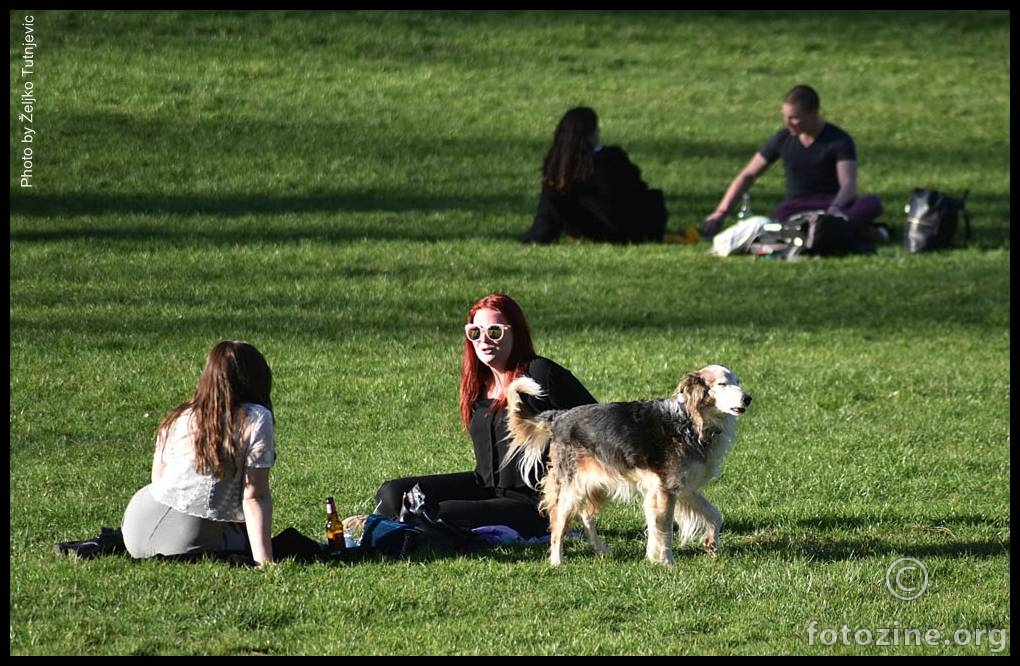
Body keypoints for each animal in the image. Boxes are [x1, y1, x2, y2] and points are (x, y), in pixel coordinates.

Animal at [501, 367, 750, 562]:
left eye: (738, 382)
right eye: (722, 384)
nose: (748, 398)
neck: (690, 420)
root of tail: (559, 417)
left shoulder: (683, 487)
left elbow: (715, 514)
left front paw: (711, 542)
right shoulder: (665, 490)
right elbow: (664, 531)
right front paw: (667, 563)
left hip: (594, 484)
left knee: (587, 517)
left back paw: (602, 550)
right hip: (571, 489)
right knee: (557, 526)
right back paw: (557, 562)